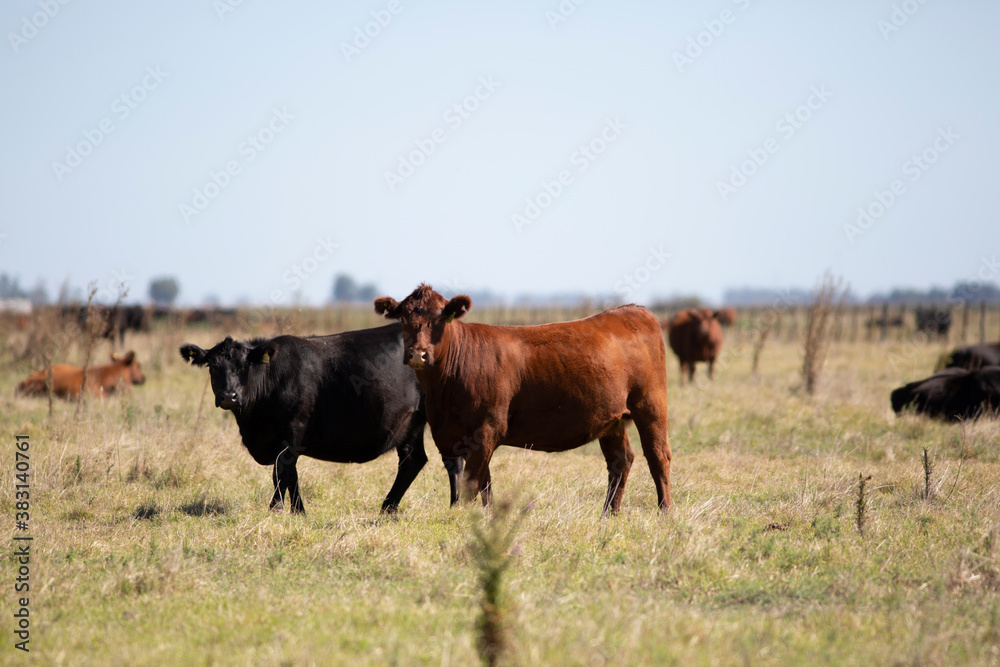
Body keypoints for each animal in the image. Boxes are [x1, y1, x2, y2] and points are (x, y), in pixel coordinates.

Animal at [178, 326, 462, 516]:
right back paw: (388, 508)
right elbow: (290, 475)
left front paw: (277, 509)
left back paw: (456, 505)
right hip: (411, 423)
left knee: (452, 460)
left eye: (243, 366)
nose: (229, 396)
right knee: (412, 461)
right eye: (213, 367)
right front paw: (298, 511)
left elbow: (281, 472)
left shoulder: (292, 431)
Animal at [376, 284, 672, 516]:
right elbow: (485, 485)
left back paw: (665, 512)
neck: (442, 393)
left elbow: (472, 485)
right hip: (612, 419)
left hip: (650, 406)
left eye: (440, 318)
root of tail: (633, 310)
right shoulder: (459, 436)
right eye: (403, 318)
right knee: (621, 461)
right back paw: (609, 515)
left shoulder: (485, 431)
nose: (418, 354)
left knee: (658, 456)